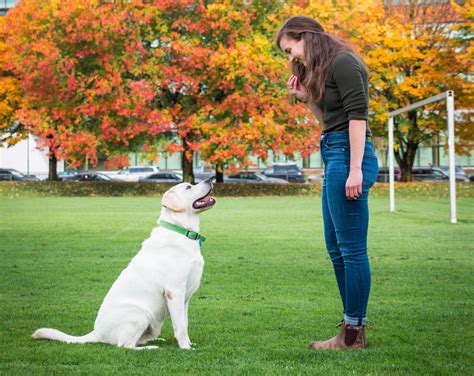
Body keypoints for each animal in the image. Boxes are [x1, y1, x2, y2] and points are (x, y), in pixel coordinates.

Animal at [33, 178, 217, 350]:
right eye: (188, 187)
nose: (210, 179)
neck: (181, 230)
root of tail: (96, 333)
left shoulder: (185, 298)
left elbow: (184, 323)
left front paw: (189, 343)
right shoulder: (175, 291)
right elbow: (181, 328)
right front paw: (186, 348)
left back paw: (155, 340)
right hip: (139, 315)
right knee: (124, 345)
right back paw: (151, 347)